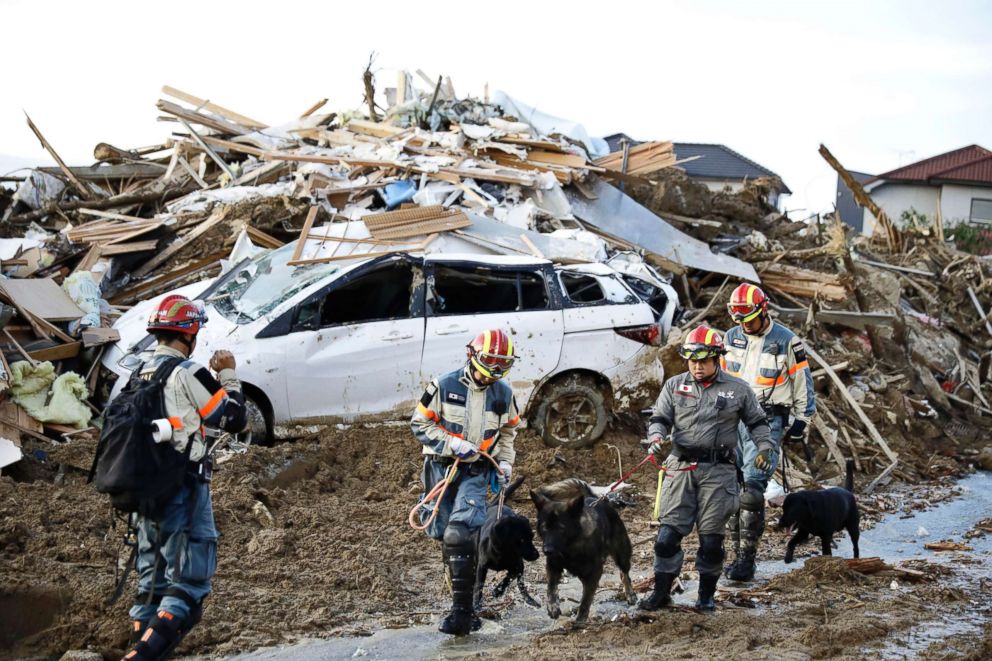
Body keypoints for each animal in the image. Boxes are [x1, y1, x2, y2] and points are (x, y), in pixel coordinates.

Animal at [474, 474, 544, 608]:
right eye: (521, 540)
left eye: (532, 537)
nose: (537, 555)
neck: (503, 553)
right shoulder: (482, 567)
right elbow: (479, 586)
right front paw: (476, 604)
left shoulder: (517, 565)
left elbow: (510, 576)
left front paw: (498, 590)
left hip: (521, 569)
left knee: (521, 585)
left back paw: (530, 599)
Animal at [532, 476, 640, 620]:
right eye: (544, 528)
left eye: (561, 528)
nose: (547, 551)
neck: (569, 548)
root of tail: (595, 499)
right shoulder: (553, 566)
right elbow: (551, 587)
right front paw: (552, 606)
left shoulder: (594, 573)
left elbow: (585, 601)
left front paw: (580, 620)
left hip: (621, 554)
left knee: (625, 574)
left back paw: (630, 593)